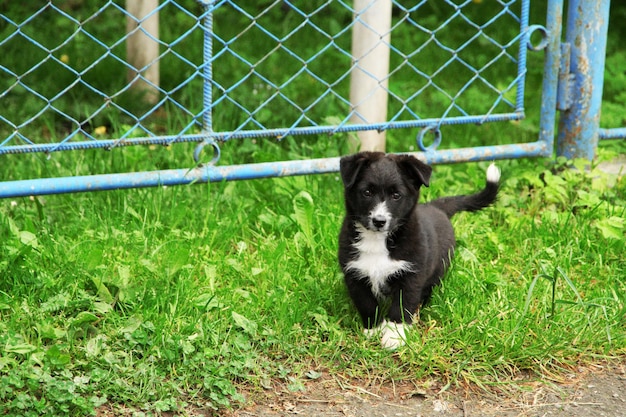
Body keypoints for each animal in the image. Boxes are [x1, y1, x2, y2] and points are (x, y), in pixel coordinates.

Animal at [336, 152, 498, 348]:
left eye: (396, 195)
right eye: (367, 192)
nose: (379, 221)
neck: (377, 241)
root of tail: (436, 207)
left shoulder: (411, 275)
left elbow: (402, 305)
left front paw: (394, 336)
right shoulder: (354, 274)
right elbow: (366, 303)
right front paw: (373, 329)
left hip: (439, 267)